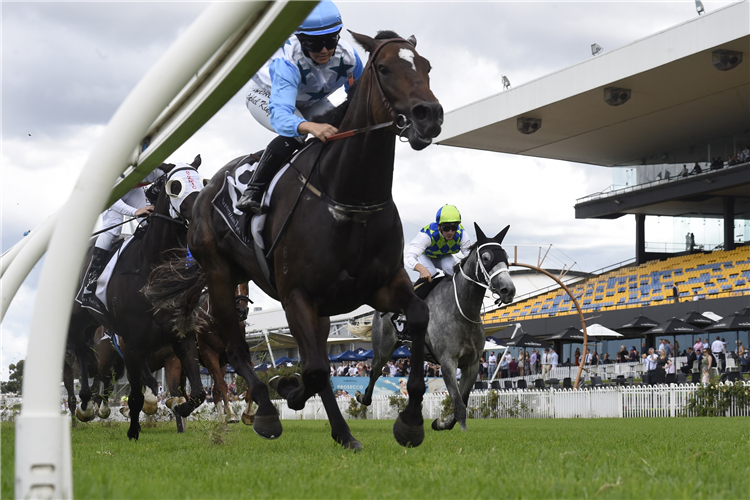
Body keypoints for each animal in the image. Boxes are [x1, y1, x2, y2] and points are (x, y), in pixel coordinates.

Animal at [66, 159, 207, 438]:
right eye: (176, 186)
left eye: (201, 181)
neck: (151, 266)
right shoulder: (131, 342)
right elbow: (134, 397)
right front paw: (133, 432)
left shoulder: (180, 333)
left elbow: (196, 393)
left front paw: (179, 409)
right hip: (78, 320)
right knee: (81, 352)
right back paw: (85, 404)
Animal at [150, 29, 446, 448]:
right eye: (386, 69)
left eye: (426, 66)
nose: (429, 115)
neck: (349, 200)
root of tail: (201, 195)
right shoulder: (296, 297)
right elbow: (318, 369)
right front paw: (324, 421)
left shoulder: (381, 285)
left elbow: (418, 317)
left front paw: (410, 420)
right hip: (220, 276)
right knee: (237, 350)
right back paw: (265, 411)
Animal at [360, 225, 516, 432]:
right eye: (486, 257)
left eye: (506, 256)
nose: (508, 290)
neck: (461, 309)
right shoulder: (447, 361)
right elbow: (458, 403)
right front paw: (460, 429)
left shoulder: (472, 364)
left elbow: (463, 399)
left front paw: (442, 423)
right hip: (383, 350)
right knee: (374, 372)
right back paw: (363, 398)